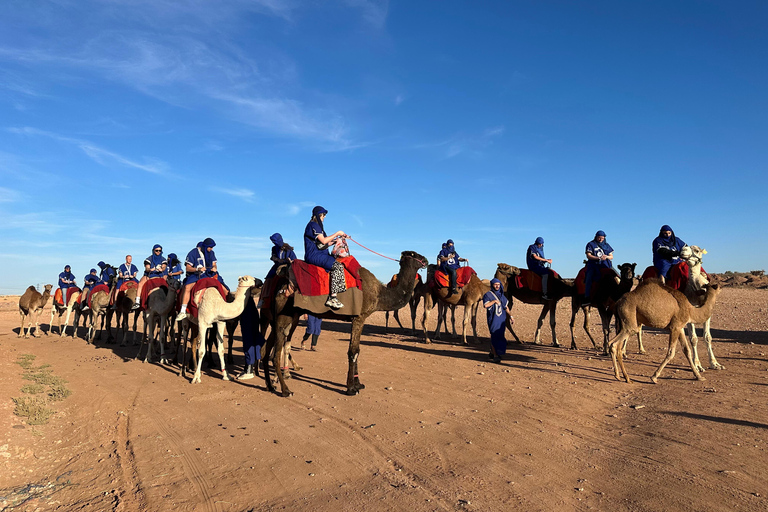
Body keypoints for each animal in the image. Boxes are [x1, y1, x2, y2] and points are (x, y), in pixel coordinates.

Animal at [266, 250, 428, 398]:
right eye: (413, 254)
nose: (425, 260)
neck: (379, 294)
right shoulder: (359, 317)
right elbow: (353, 352)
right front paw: (351, 388)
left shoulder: (358, 319)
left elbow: (357, 350)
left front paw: (359, 384)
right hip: (284, 315)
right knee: (275, 353)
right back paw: (285, 390)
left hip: (285, 316)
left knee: (267, 348)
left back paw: (270, 385)